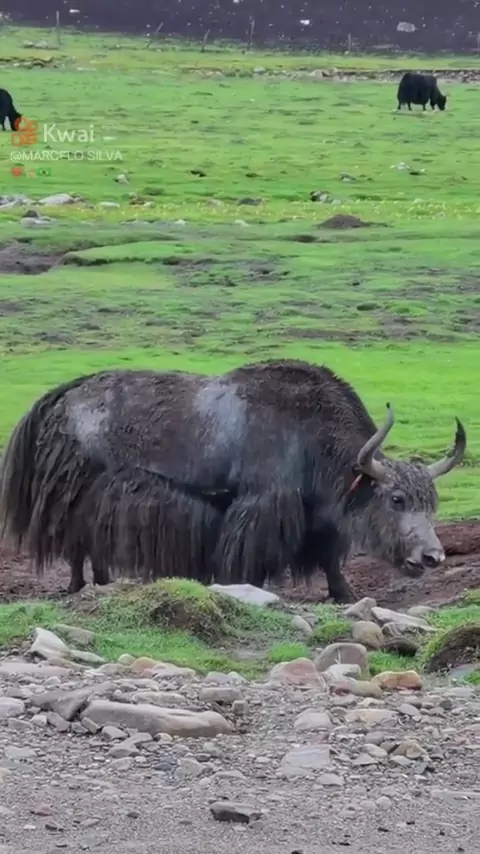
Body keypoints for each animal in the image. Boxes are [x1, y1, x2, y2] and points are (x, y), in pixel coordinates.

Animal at [0, 359, 465, 602]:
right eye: (397, 499)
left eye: (432, 503)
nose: (433, 557)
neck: (312, 438)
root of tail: (64, 394)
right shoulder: (263, 502)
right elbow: (250, 552)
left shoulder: (318, 517)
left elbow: (330, 557)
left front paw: (345, 594)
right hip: (74, 489)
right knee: (75, 540)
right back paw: (78, 586)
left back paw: (101, 583)